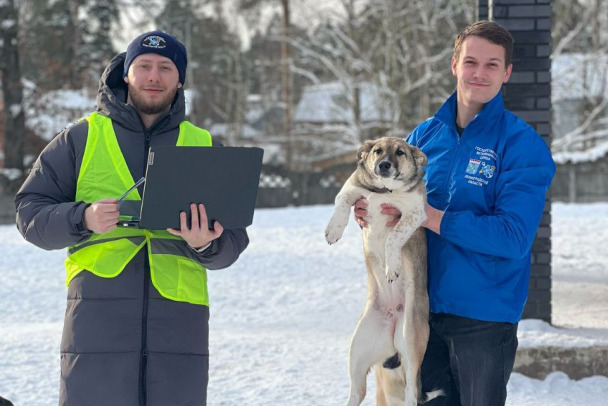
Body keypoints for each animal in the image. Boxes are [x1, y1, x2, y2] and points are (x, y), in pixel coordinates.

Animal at [326, 137, 440, 406]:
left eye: (400, 152)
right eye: (377, 151)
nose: (384, 165)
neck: (385, 190)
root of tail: (392, 320)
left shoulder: (413, 213)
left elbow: (394, 237)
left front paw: (392, 266)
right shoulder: (350, 190)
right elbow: (341, 205)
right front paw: (333, 230)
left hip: (411, 343)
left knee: (411, 392)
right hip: (357, 351)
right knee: (357, 391)